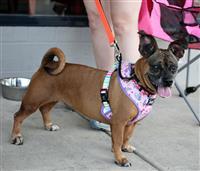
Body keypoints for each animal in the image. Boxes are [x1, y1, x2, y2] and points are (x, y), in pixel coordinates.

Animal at [10, 32, 187, 167]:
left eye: (174, 68)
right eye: (156, 67)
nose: (169, 81)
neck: (137, 82)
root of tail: (48, 65)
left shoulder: (131, 124)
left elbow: (126, 137)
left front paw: (125, 147)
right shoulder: (118, 122)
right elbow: (117, 141)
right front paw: (120, 158)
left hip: (52, 98)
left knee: (45, 109)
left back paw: (48, 125)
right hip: (32, 102)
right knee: (18, 116)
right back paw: (16, 136)